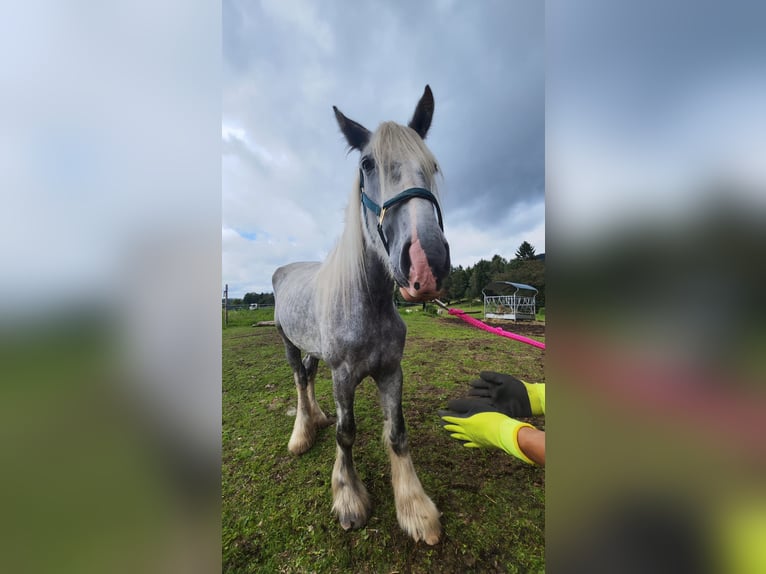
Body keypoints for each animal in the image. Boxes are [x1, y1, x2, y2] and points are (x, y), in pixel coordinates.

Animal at [272, 85, 450, 545]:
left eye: (432, 164)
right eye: (367, 164)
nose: (426, 264)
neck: (367, 302)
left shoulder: (391, 370)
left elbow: (398, 433)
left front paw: (415, 509)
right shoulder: (344, 376)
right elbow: (345, 432)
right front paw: (349, 499)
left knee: (308, 376)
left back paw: (314, 419)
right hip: (288, 342)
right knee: (299, 379)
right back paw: (302, 433)